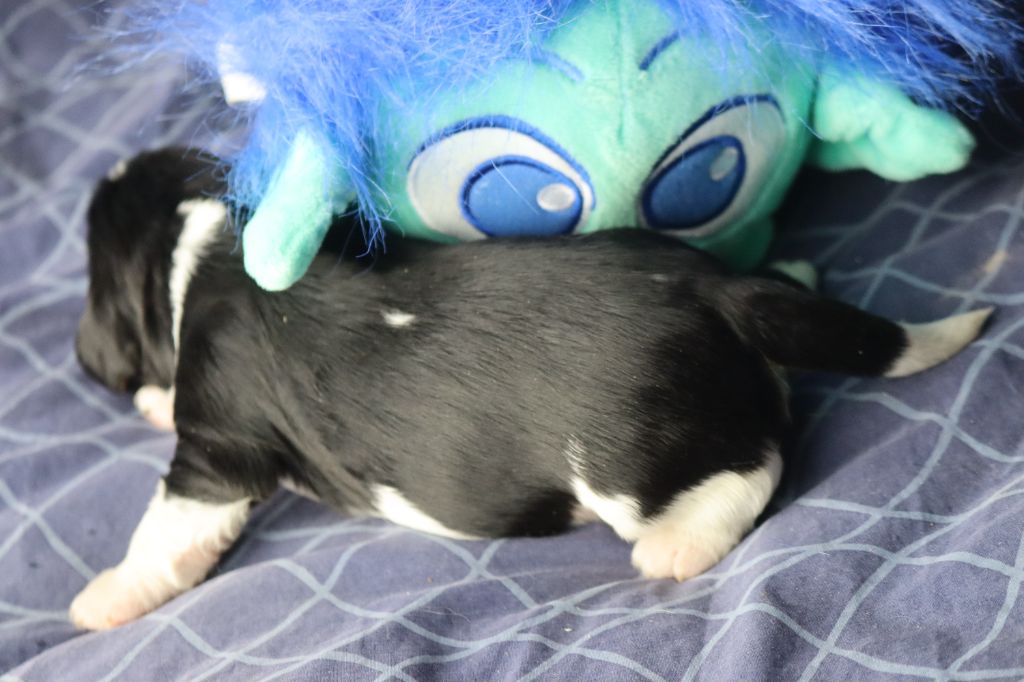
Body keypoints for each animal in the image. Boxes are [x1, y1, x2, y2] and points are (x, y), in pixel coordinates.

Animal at [69, 148, 991, 630]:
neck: (203, 238)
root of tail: (713, 290)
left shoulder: (217, 450)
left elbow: (165, 532)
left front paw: (103, 600)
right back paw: (794, 271)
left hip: (624, 462)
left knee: (753, 465)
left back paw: (678, 547)